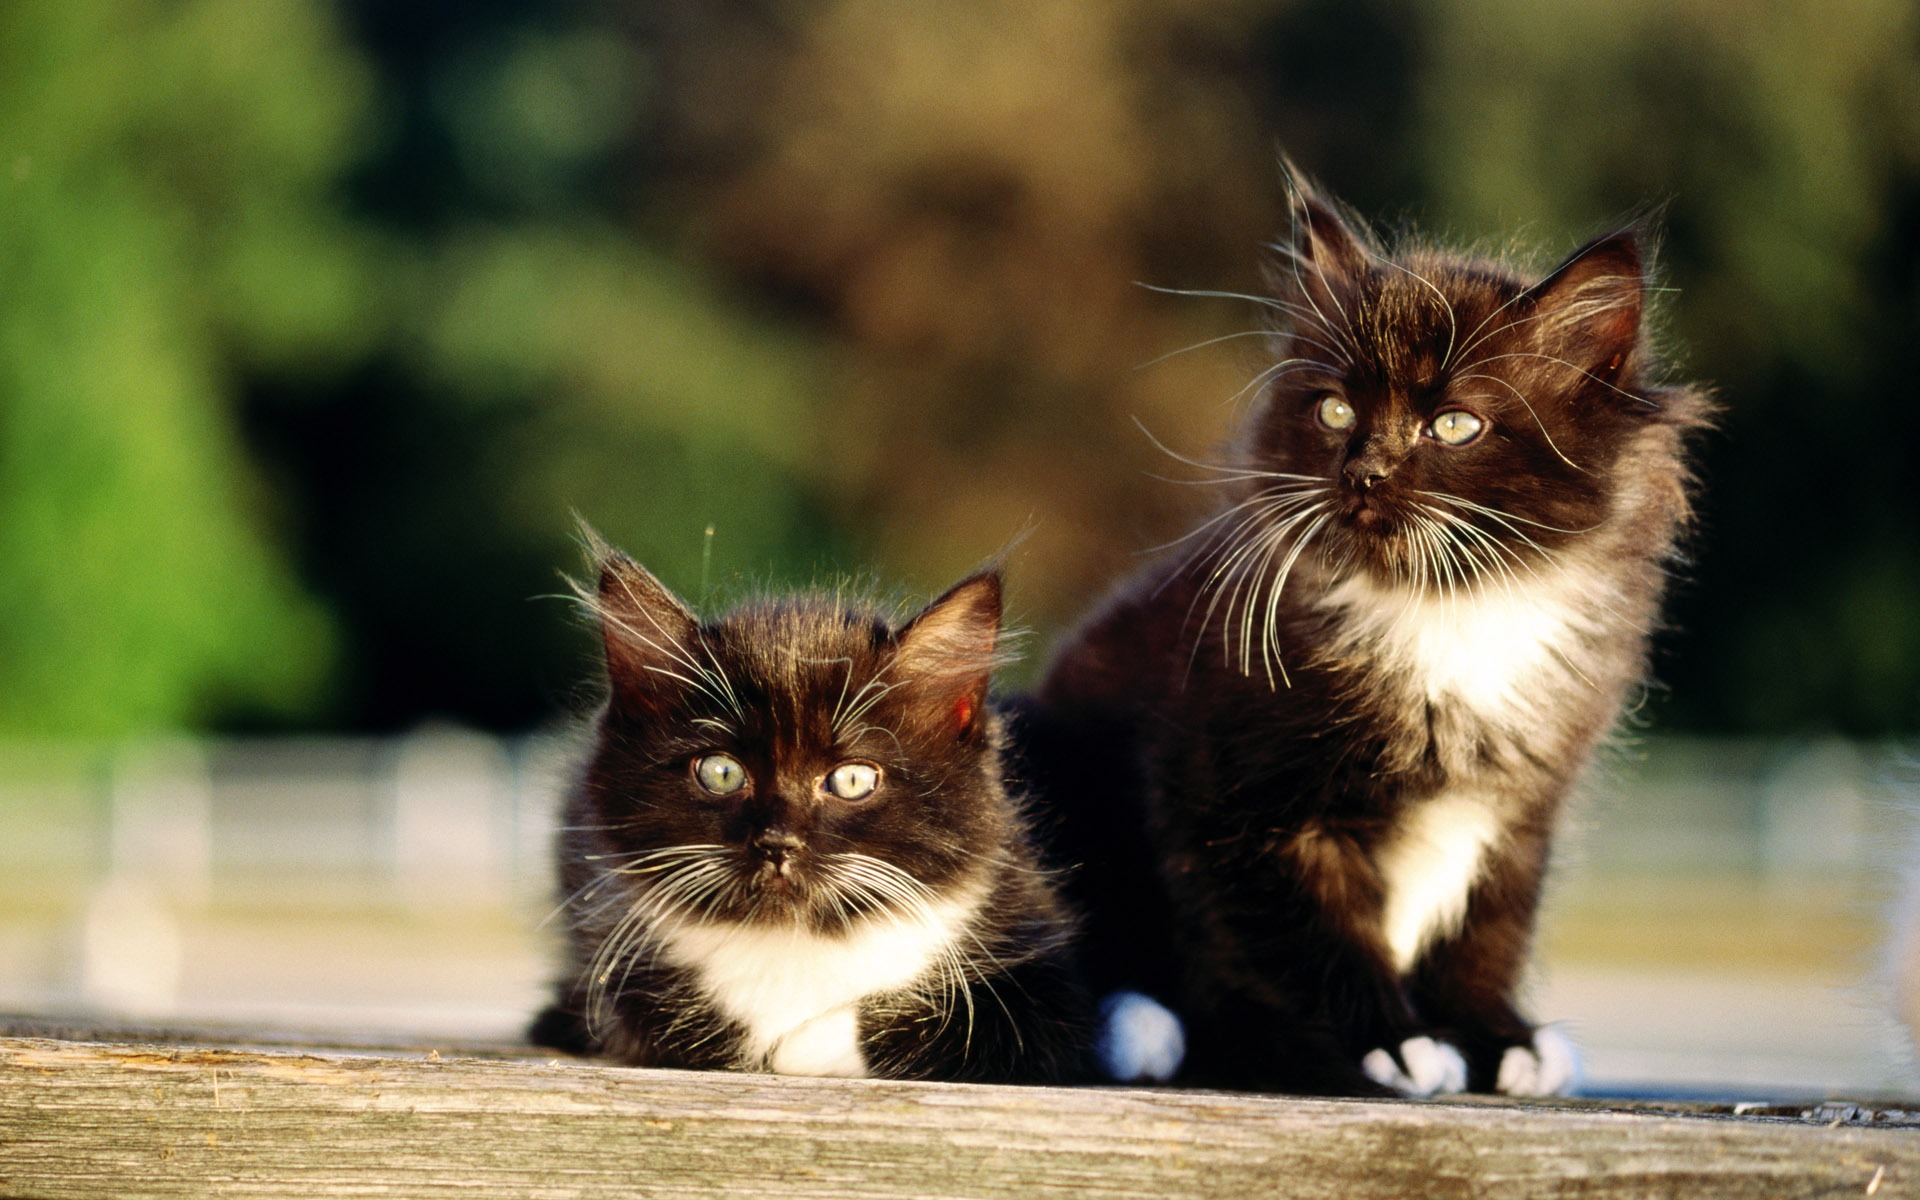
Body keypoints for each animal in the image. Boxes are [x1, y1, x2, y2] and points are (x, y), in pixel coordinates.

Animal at [533, 549, 1090, 1082]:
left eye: (852, 780)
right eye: (721, 772)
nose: (778, 842)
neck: (797, 941)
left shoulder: (1049, 989)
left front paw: (800, 1045)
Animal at [1021, 177, 1712, 1098]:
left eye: (1453, 426)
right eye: (1335, 409)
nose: (1363, 472)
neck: (1445, 614)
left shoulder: (1518, 811)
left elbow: (1489, 932)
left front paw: (1499, 1038)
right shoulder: (1242, 801)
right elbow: (1312, 936)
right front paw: (1389, 1042)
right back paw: (1142, 1025)